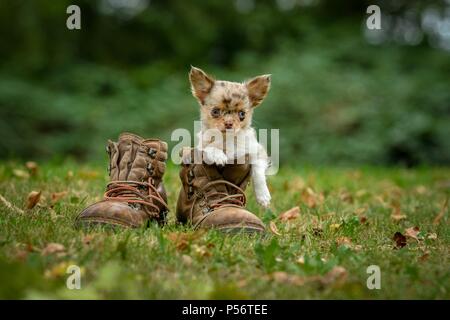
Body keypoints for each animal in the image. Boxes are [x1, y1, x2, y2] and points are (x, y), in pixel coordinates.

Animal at [185, 67, 270, 208]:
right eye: (215, 112)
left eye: (242, 114)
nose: (229, 123)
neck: (227, 139)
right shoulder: (202, 146)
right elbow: (210, 148)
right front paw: (219, 156)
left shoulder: (257, 151)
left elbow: (257, 171)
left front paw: (263, 196)